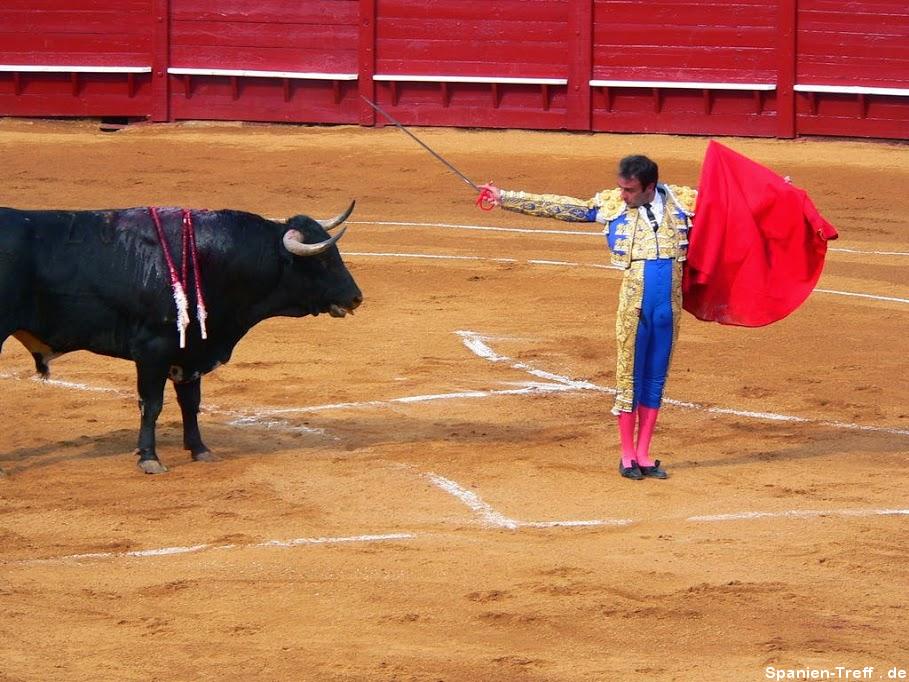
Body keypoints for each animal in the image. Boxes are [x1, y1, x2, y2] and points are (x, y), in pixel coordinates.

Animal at [0, 199, 362, 470]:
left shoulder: (191, 352)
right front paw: (149, 458)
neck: (210, 259)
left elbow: (190, 403)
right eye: (323, 261)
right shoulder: (152, 351)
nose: (356, 297)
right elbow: (152, 404)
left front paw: (200, 449)